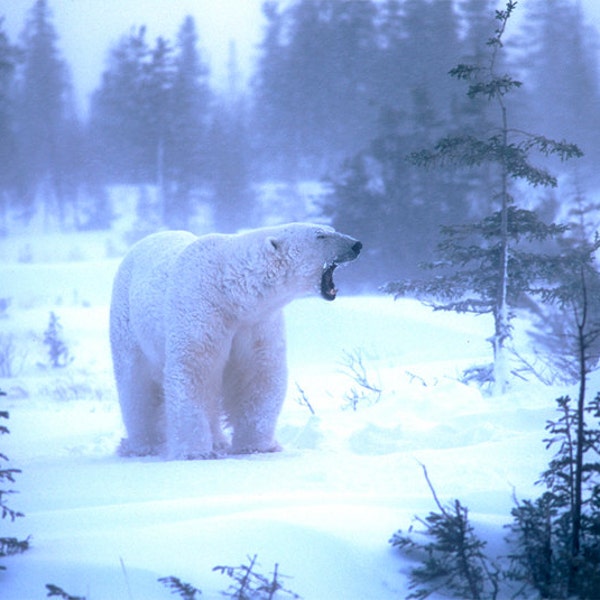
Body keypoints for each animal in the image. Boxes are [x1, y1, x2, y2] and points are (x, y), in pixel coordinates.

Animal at [109, 224, 360, 460]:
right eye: (320, 235)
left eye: (330, 229)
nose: (356, 244)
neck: (230, 290)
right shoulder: (201, 310)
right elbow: (193, 371)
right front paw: (196, 452)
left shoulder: (257, 323)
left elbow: (258, 374)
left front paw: (258, 446)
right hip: (129, 324)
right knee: (136, 385)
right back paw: (144, 445)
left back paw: (219, 441)